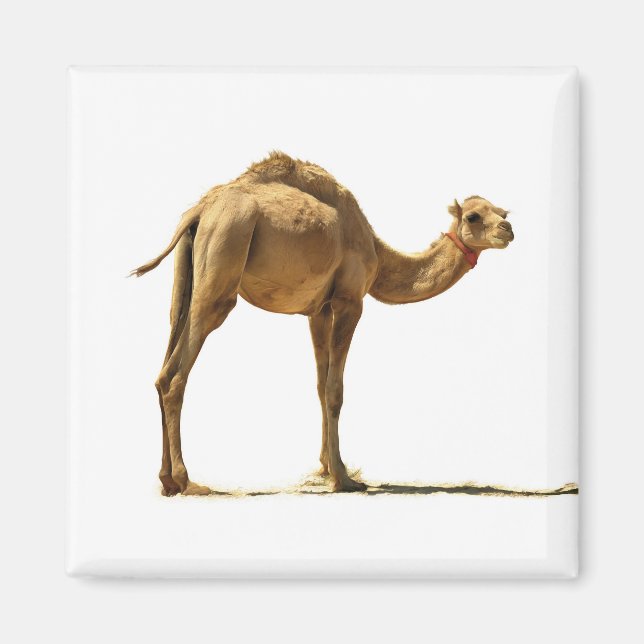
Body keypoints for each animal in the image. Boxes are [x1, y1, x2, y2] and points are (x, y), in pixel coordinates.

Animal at [132, 152, 514, 495]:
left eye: (503, 211)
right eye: (474, 216)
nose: (508, 229)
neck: (375, 250)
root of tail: (201, 210)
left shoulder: (318, 310)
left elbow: (318, 383)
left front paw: (325, 467)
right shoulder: (349, 302)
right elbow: (335, 389)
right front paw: (343, 478)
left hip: (187, 274)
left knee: (165, 361)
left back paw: (166, 480)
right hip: (225, 254)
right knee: (177, 373)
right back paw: (187, 481)